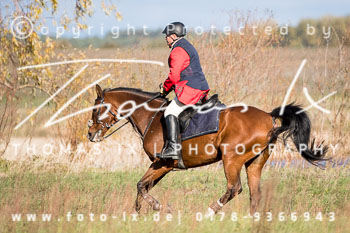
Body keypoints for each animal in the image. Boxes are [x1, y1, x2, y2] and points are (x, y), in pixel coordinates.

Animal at [87, 84, 328, 218]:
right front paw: (138, 213)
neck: (151, 116)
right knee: (255, 193)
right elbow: (143, 186)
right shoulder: (160, 166)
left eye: (96, 108)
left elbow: (142, 186)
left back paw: (208, 212)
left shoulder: (163, 163)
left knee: (235, 188)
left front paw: (160, 208)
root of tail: (269, 117)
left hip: (231, 159)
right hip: (255, 162)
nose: (90, 134)